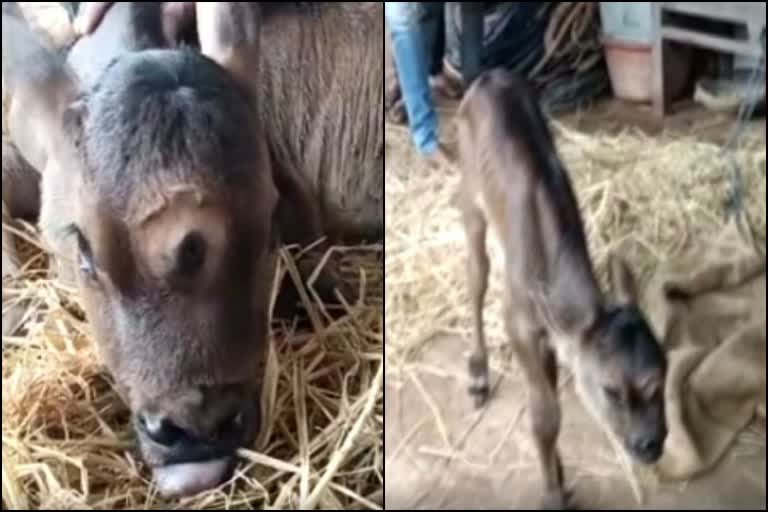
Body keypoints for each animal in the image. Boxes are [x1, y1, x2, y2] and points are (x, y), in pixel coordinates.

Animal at [456, 68, 664, 508]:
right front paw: (553, 492)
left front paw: (559, 470)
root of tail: (488, 77)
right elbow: (545, 416)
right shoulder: (517, 319)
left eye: (661, 377)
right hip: (470, 193)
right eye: (611, 390)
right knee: (476, 274)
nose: (651, 445)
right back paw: (478, 373)